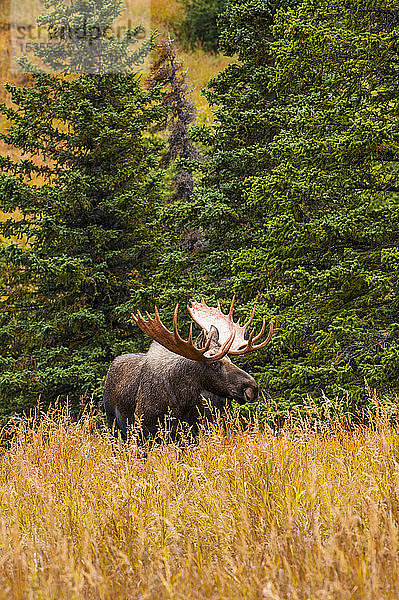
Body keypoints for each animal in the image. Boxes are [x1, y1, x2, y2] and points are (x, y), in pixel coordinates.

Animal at [103, 298, 274, 438]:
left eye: (229, 359)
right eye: (214, 363)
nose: (252, 388)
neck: (179, 402)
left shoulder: (192, 432)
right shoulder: (144, 430)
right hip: (114, 425)